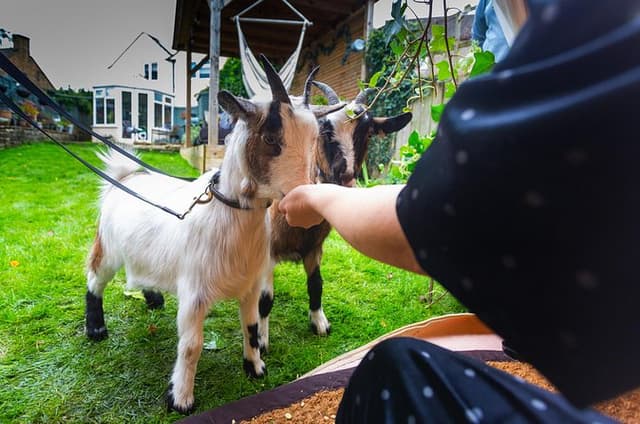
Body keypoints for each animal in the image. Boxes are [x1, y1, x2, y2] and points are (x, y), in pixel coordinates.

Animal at [84, 56, 344, 414]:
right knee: (95, 278)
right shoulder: (194, 293)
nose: (306, 205)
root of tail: (126, 179)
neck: (229, 214)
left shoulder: (250, 285)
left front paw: (255, 368)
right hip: (107, 247)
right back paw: (96, 328)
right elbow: (191, 346)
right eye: (270, 138)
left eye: (315, 140)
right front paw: (180, 399)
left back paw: (153, 299)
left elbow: (251, 328)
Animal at [257, 83, 412, 350]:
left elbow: (316, 284)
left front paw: (319, 322)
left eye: (367, 133)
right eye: (325, 131)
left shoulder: (315, 247)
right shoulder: (269, 251)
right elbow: (265, 299)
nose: (346, 174)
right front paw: (260, 340)